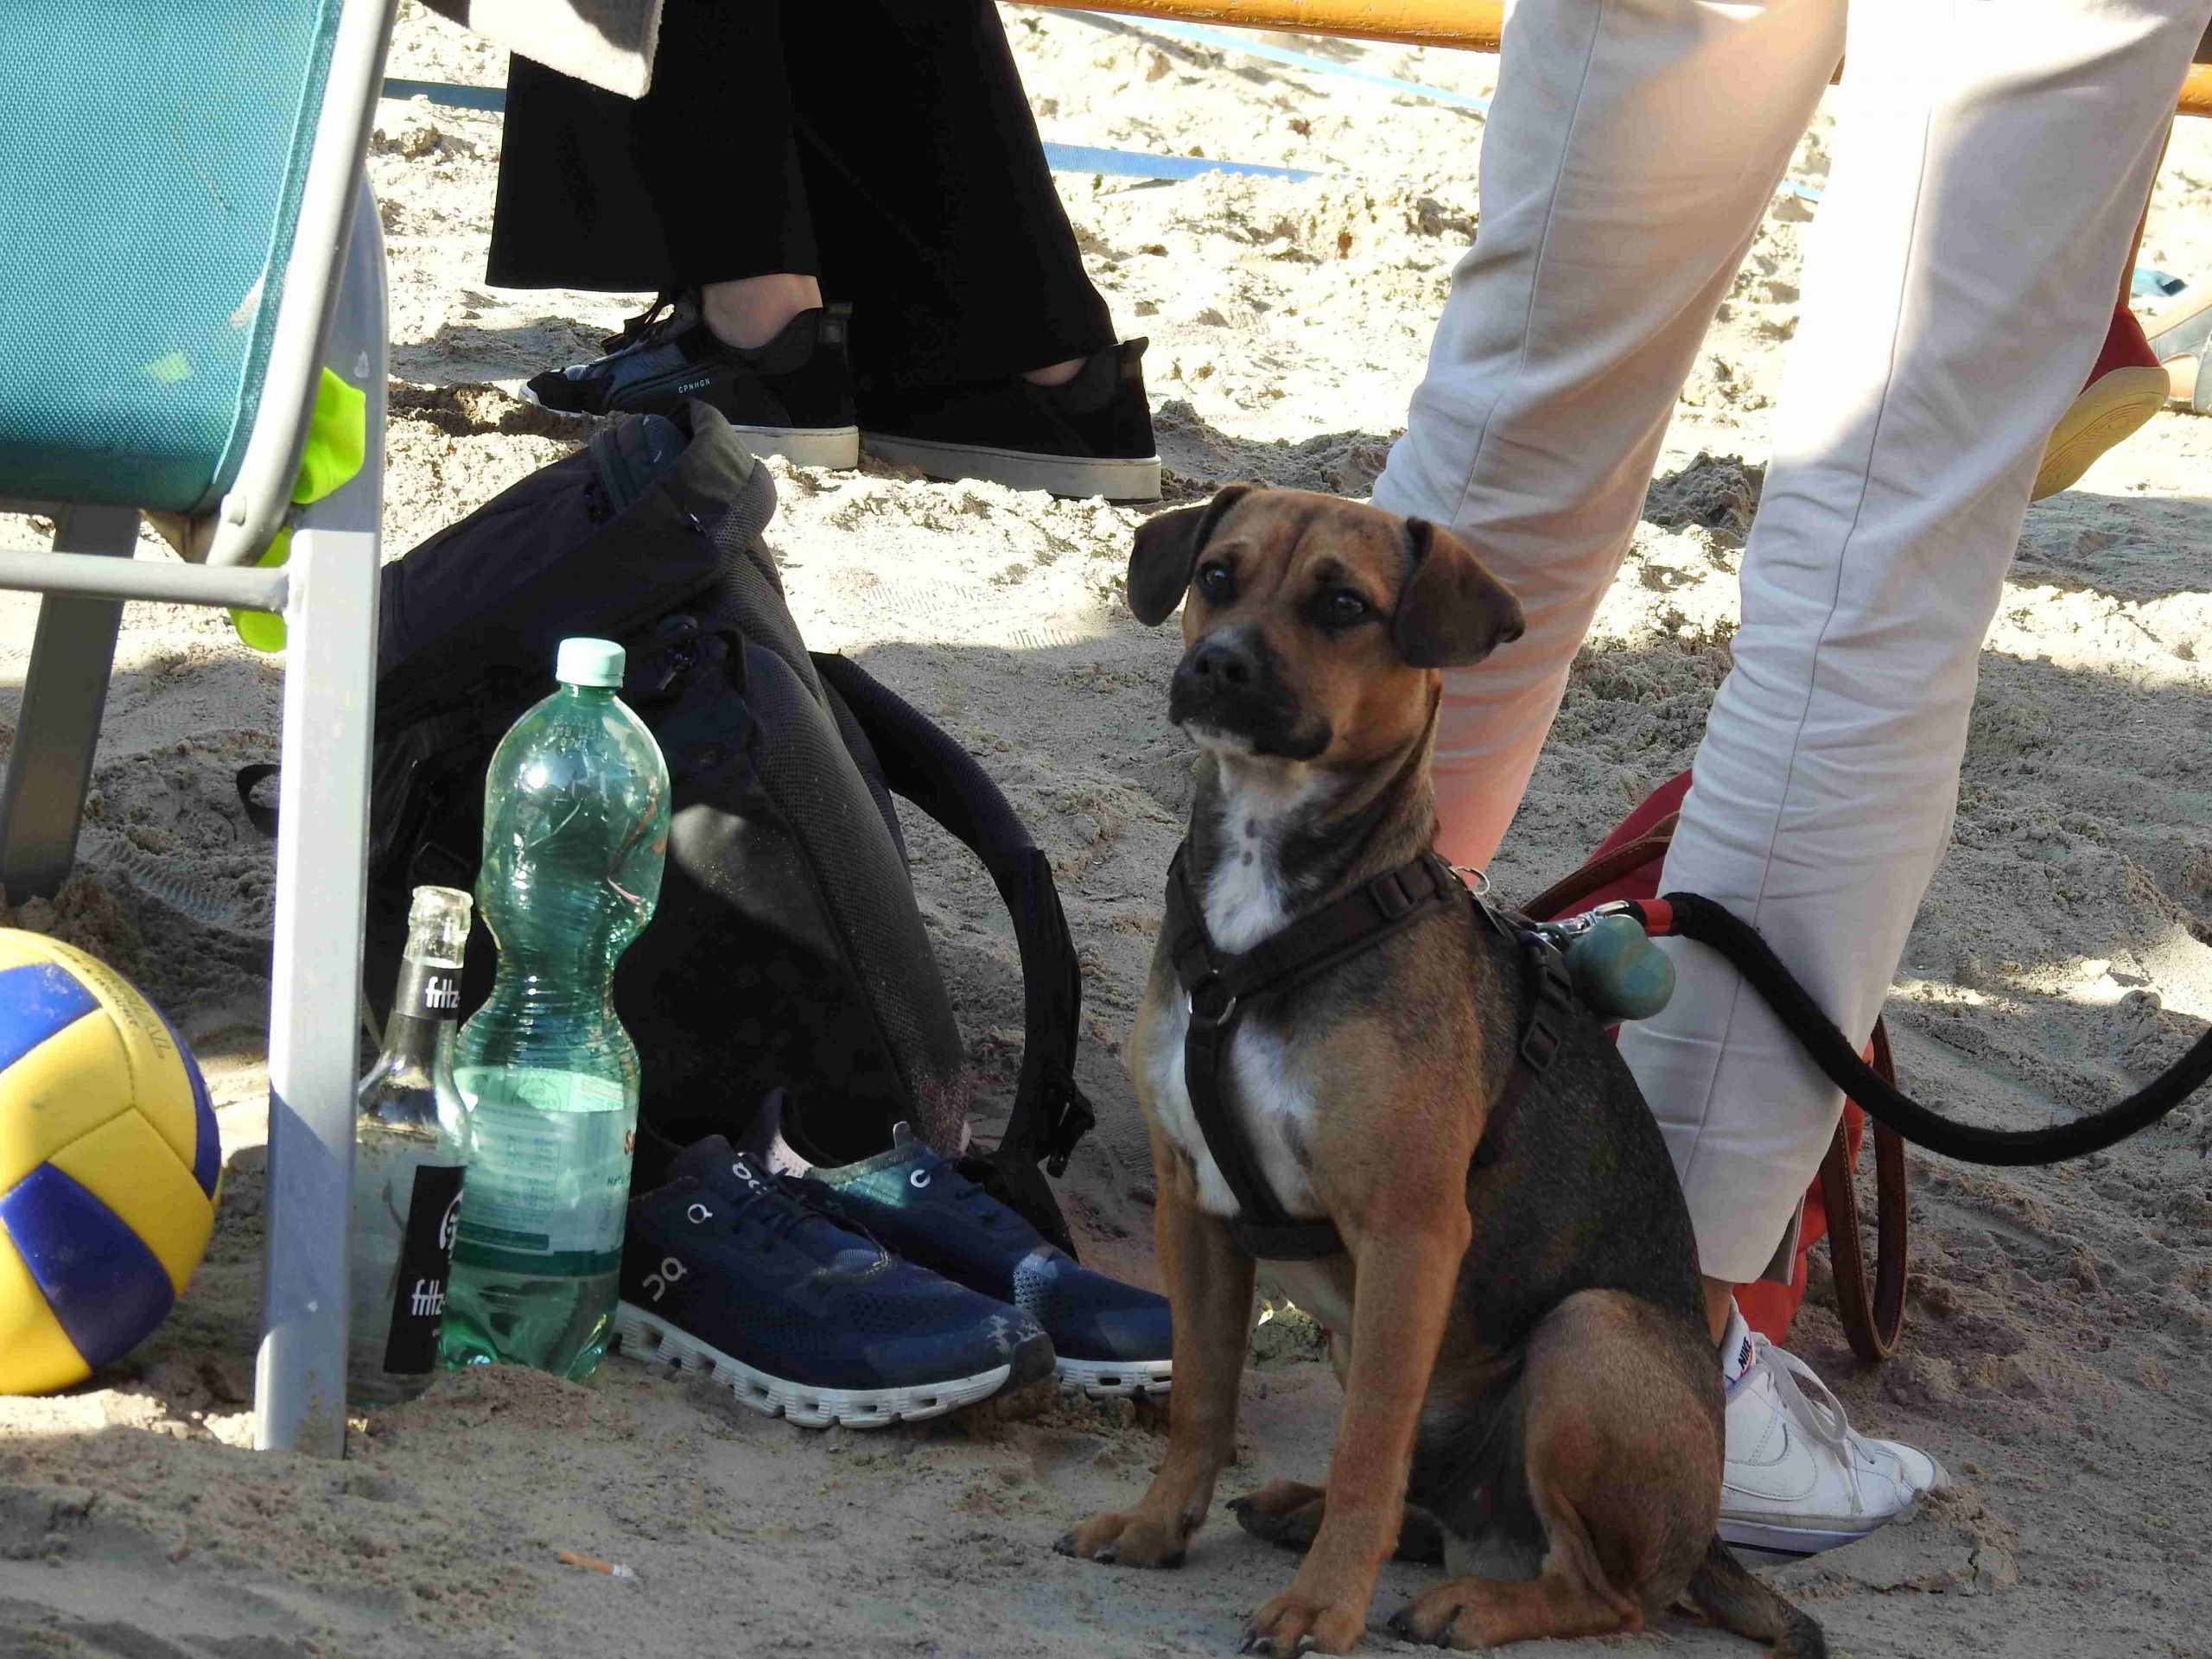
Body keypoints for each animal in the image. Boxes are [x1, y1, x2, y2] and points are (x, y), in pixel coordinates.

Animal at [1057, 485, 1823, 1657]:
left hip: (1588, 1337)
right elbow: (1200, 1398)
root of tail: (1706, 1539)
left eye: (1342, 604)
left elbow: (1366, 1447)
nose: (1219, 665)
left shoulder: (1409, 1235)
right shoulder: (1192, 1208)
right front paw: (1156, 1525)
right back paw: (1312, 1515)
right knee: (1436, 1510)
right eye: (1218, 577)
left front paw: (1323, 1605)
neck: (1269, 918)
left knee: (1607, 1592)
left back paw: (1475, 1601)